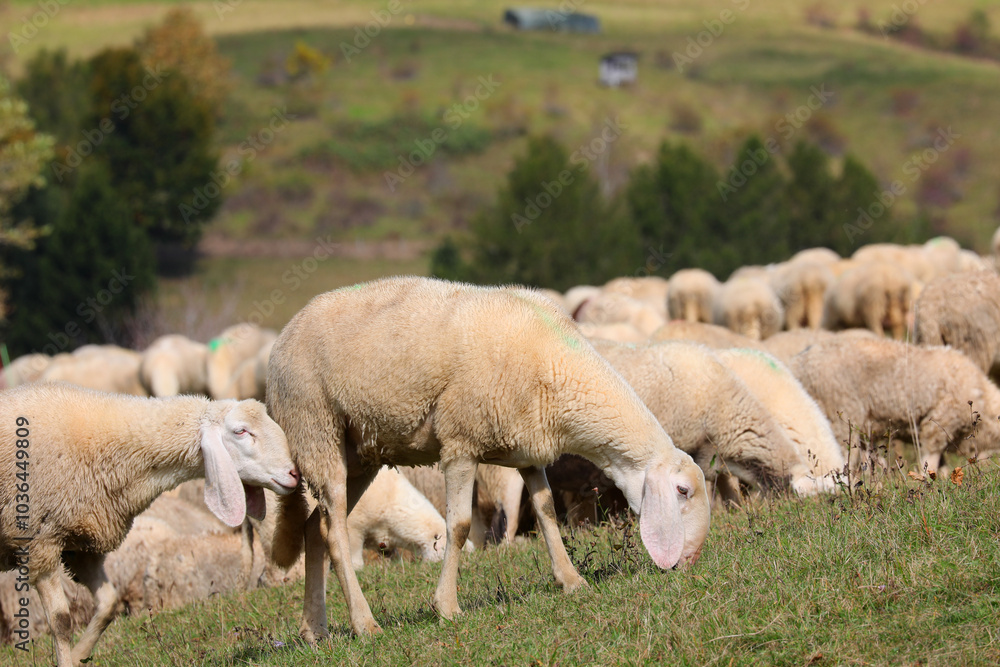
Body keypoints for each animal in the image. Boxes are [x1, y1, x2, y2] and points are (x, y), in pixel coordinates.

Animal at [0, 383, 300, 667]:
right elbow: (61, 622)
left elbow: (108, 605)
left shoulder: (80, 546)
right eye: (241, 431)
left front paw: (78, 655)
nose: (294, 473)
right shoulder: (41, 544)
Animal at [265, 276, 710, 641]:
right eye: (682, 491)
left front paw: (571, 580)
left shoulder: (529, 453)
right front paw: (446, 607)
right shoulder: (461, 442)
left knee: (315, 528)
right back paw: (364, 623)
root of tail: (283, 336)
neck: (559, 369)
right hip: (315, 428)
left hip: (359, 453)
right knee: (335, 533)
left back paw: (314, 629)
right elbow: (460, 526)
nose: (690, 561)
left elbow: (547, 512)